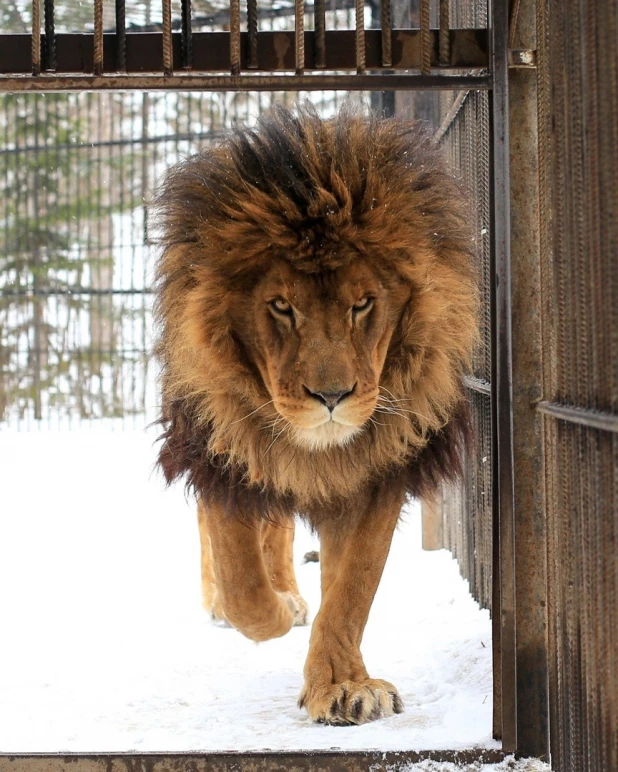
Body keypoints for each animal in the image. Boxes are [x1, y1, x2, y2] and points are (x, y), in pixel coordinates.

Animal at [153, 105, 476, 728]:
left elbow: (352, 590)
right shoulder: (222, 454)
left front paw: (343, 685)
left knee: (279, 530)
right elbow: (242, 581)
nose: (332, 396)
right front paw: (272, 610)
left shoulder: (378, 472)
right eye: (282, 306)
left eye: (362, 303)